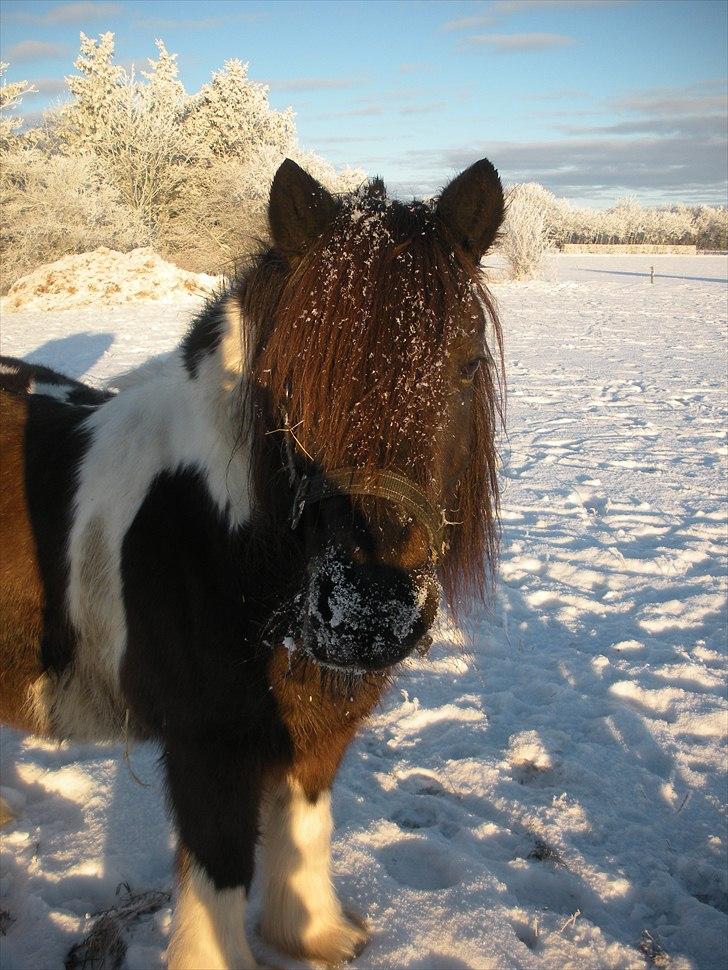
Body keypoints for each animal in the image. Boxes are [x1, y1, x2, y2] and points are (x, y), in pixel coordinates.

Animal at [0, 155, 504, 964]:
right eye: (293, 375)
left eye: (465, 363)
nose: (370, 608)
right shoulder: (207, 750)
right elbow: (221, 873)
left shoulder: (316, 730)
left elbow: (305, 827)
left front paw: (313, 933)